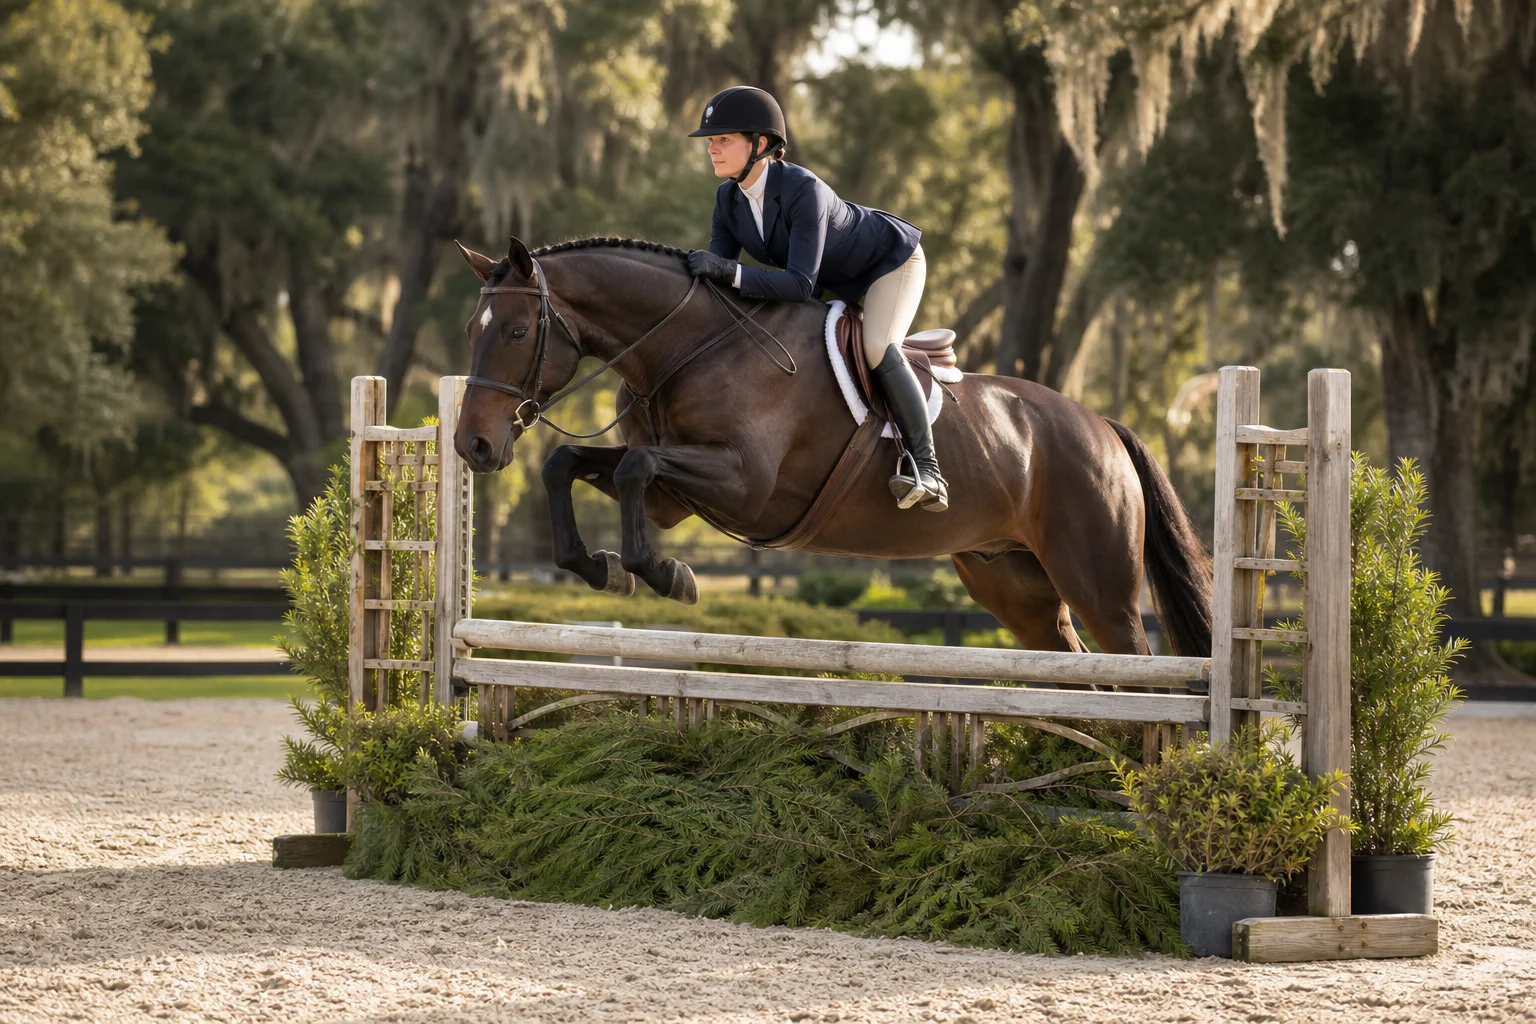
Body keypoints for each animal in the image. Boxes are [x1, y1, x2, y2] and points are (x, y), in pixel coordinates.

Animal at [453, 236, 1213, 661]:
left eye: (517, 332)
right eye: (471, 331)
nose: (474, 445)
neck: (688, 346)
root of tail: (1103, 427)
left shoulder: (745, 486)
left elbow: (636, 467)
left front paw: (667, 575)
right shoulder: (676, 498)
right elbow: (569, 464)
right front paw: (600, 569)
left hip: (1101, 587)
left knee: (1135, 669)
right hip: (1013, 583)